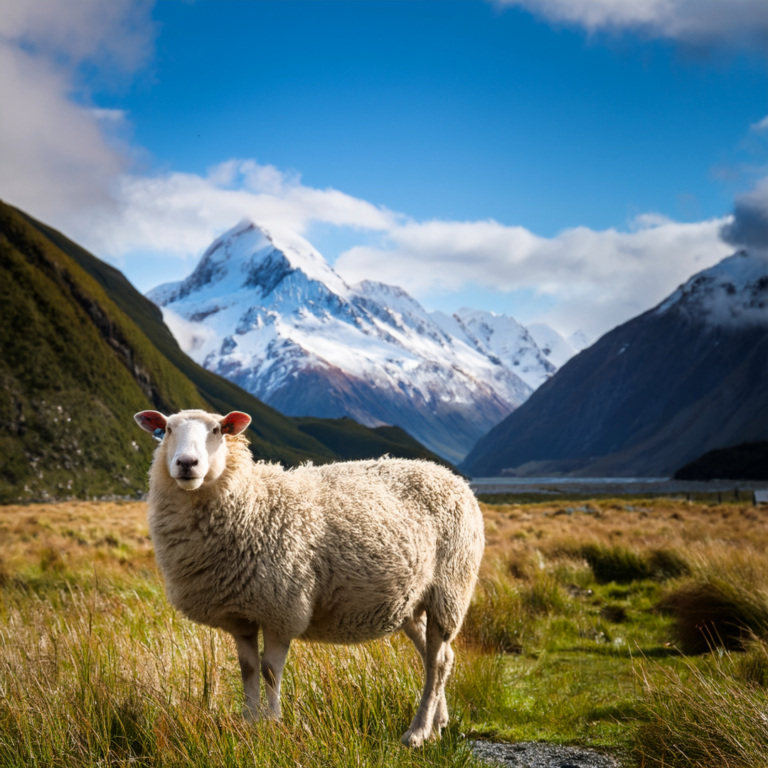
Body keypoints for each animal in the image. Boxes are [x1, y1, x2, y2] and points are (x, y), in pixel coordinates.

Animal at [134, 408, 484, 747]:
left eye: (218, 429)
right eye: (167, 429)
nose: (186, 463)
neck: (252, 501)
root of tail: (452, 477)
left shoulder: (281, 609)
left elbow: (270, 671)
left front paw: (272, 725)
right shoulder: (241, 615)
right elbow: (247, 670)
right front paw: (249, 725)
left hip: (450, 590)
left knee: (438, 662)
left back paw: (418, 732)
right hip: (412, 603)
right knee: (436, 656)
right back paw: (438, 724)